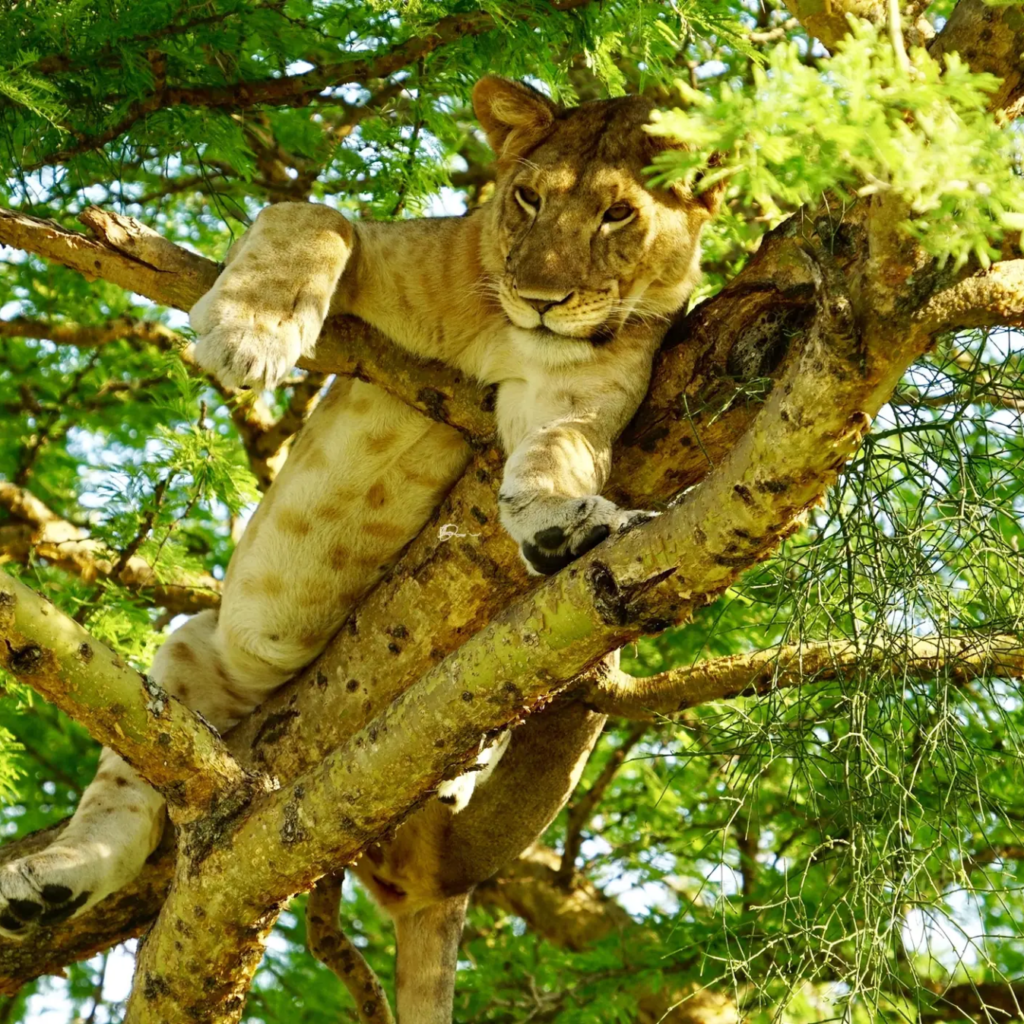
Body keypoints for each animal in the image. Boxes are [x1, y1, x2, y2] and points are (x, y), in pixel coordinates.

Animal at [0, 76, 719, 1022]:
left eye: (617, 215)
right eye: (527, 198)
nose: (538, 297)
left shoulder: (568, 396)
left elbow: (557, 452)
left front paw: (566, 518)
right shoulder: (381, 255)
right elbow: (315, 217)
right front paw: (249, 332)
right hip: (190, 659)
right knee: (127, 788)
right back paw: (53, 879)